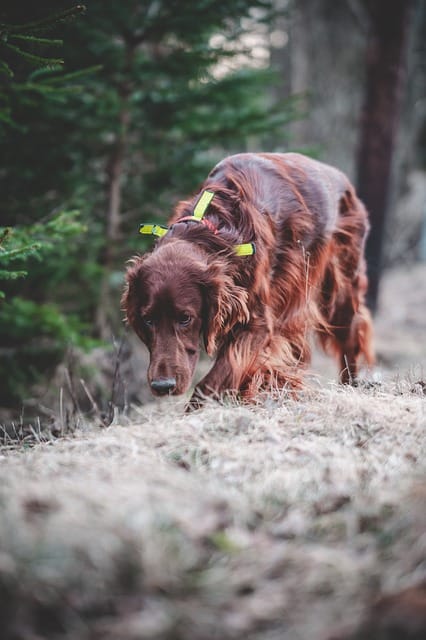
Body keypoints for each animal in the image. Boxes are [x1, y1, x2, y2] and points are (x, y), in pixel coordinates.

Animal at [122, 152, 372, 402]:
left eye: (185, 318)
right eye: (147, 319)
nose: (163, 386)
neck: (214, 232)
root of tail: (342, 179)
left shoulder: (258, 324)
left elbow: (211, 382)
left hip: (339, 292)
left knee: (349, 340)